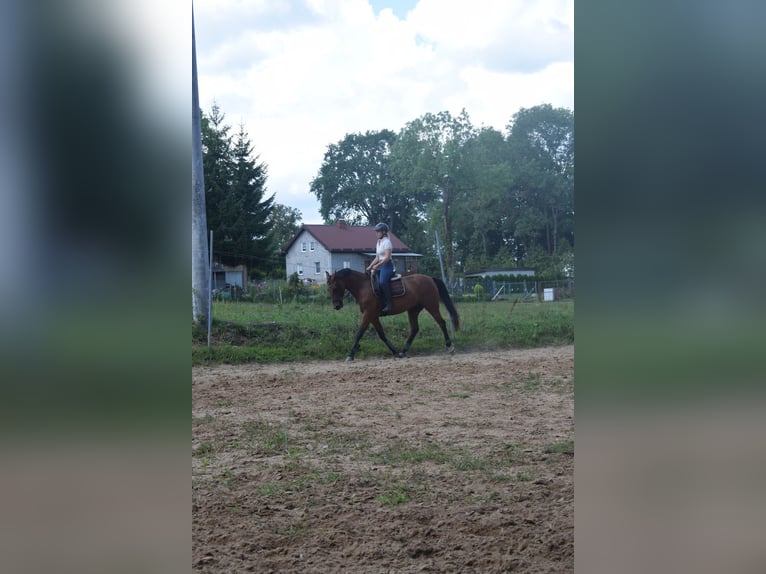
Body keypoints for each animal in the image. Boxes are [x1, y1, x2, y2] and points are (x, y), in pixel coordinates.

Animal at [326, 268, 460, 360]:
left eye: (335, 287)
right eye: (328, 289)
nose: (336, 306)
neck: (363, 287)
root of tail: (430, 278)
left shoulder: (368, 314)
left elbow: (359, 333)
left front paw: (350, 355)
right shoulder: (373, 316)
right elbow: (381, 334)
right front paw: (395, 351)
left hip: (431, 306)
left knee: (441, 322)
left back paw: (450, 346)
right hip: (413, 310)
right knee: (414, 329)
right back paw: (403, 351)